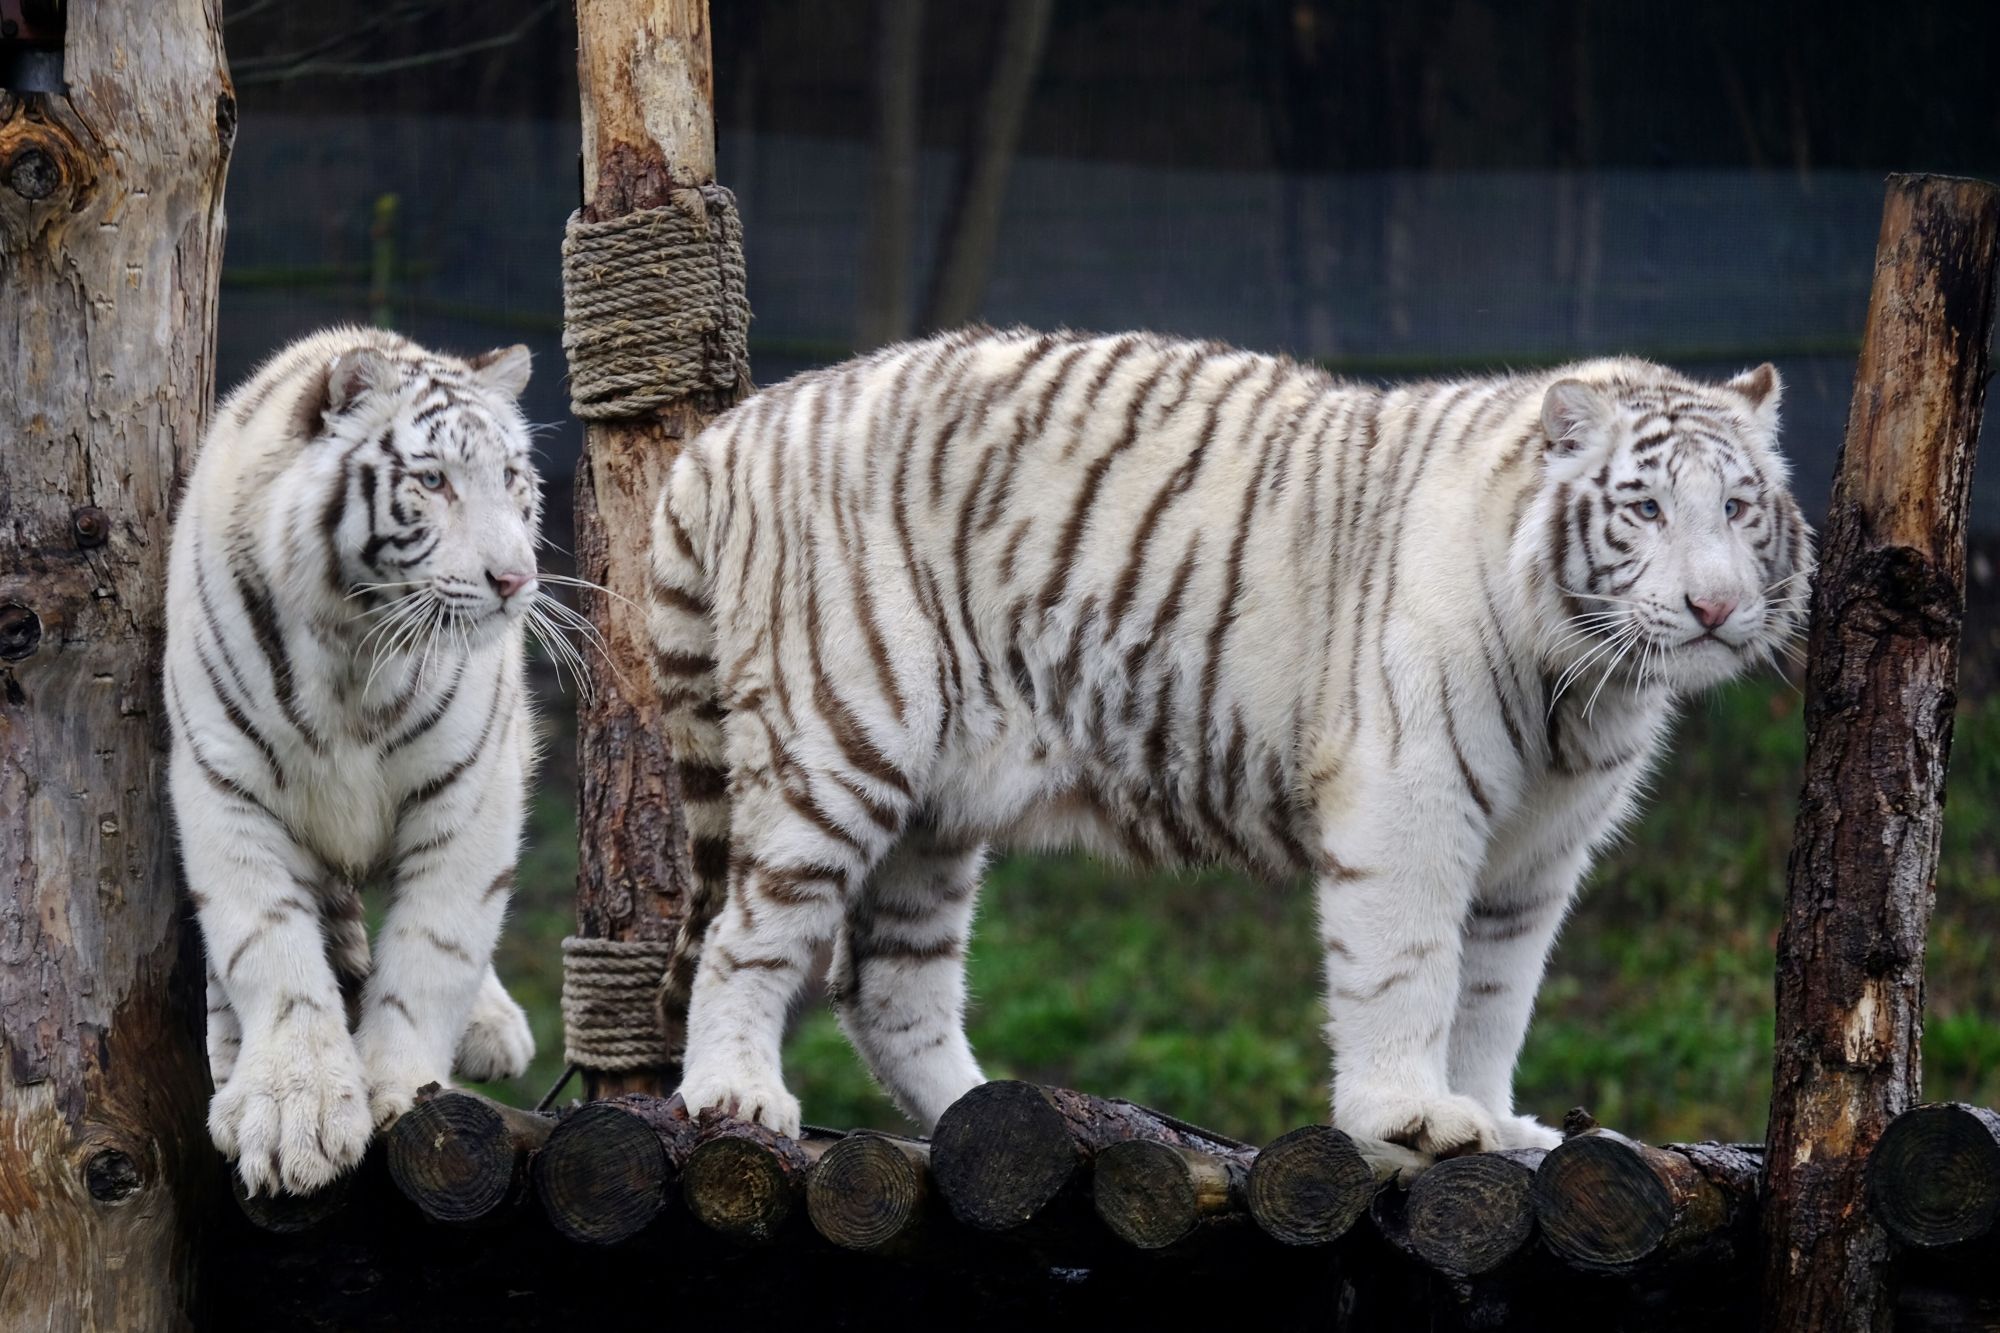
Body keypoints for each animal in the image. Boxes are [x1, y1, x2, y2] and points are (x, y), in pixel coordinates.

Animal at [164, 326, 564, 1184]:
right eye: (433, 480)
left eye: (511, 478)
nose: (517, 579)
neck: (356, 641)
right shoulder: (224, 781)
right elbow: (267, 946)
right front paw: (292, 1112)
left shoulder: (471, 788)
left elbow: (435, 947)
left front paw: (399, 1088)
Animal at [644, 330, 1816, 1152]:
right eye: (1645, 510)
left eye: (1738, 508)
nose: (1714, 607)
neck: (1583, 682)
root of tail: (729, 431)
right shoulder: (1407, 795)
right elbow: (1409, 967)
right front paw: (1409, 1114)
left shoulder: (1538, 851)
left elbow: (1495, 993)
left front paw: (1495, 1119)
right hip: (843, 738)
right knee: (746, 931)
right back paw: (738, 1092)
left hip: (935, 807)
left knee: (888, 983)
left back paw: (996, 1113)